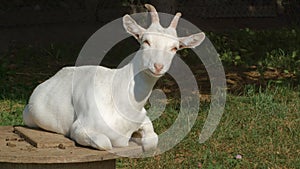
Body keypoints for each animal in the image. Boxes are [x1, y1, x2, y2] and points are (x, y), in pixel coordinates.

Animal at [23, 3, 205, 151]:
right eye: (146, 41)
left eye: (175, 48)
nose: (158, 66)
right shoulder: (80, 128)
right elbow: (106, 143)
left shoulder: (143, 118)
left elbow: (152, 141)